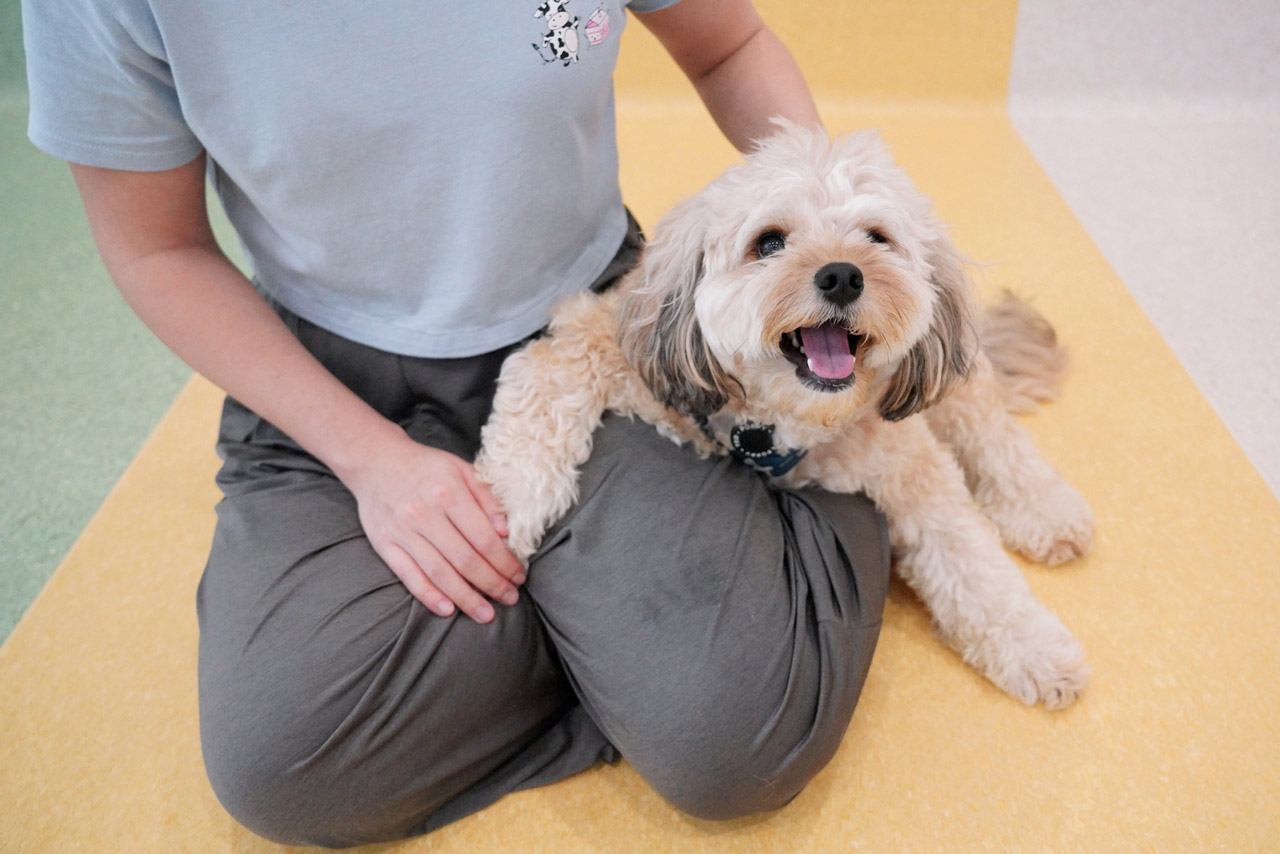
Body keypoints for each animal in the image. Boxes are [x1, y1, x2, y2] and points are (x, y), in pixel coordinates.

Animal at [476, 120, 1095, 706]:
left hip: (959, 387)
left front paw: (1035, 649)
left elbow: (974, 564)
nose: (843, 274)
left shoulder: (909, 464)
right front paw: (507, 508)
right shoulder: (606, 342)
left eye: (877, 237)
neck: (774, 424)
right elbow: (544, 386)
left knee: (995, 438)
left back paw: (1047, 511)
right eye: (769, 242)